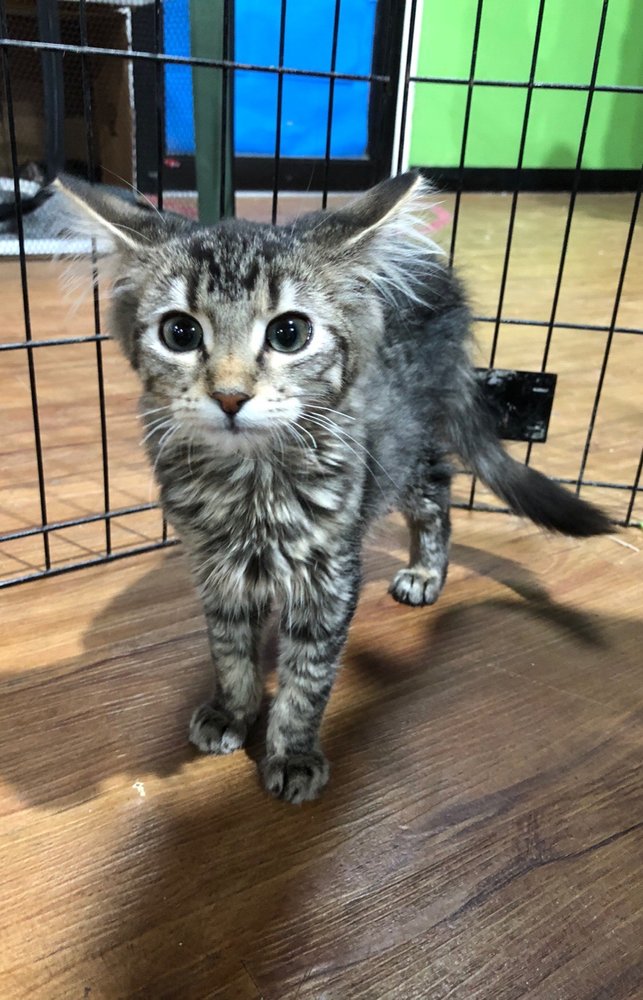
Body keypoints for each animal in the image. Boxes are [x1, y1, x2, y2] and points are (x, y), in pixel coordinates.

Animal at [56, 171, 610, 803]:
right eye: (180, 332)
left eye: (289, 333)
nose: (229, 395)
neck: (253, 484)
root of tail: (431, 262)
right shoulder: (214, 565)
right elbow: (230, 649)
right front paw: (233, 710)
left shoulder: (329, 572)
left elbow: (309, 676)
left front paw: (292, 752)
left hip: (408, 449)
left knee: (437, 500)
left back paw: (426, 572)